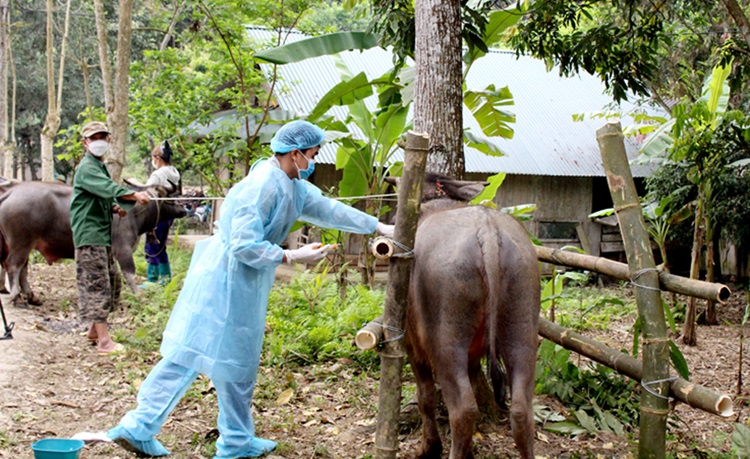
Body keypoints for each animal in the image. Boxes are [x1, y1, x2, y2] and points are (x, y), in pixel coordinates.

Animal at [0, 181, 187, 308]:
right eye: (172, 196)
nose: (185, 209)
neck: (134, 212)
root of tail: (11, 192)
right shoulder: (123, 250)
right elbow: (129, 274)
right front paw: (140, 297)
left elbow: (113, 275)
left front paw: (113, 301)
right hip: (22, 243)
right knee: (14, 266)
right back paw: (17, 297)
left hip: (24, 245)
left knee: (22, 269)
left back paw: (32, 297)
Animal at [388, 173, 540, 459]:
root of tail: (488, 231)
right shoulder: (473, 354)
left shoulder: (412, 345)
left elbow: (425, 396)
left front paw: (429, 447)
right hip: (521, 330)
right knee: (521, 410)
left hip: (446, 343)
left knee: (463, 410)